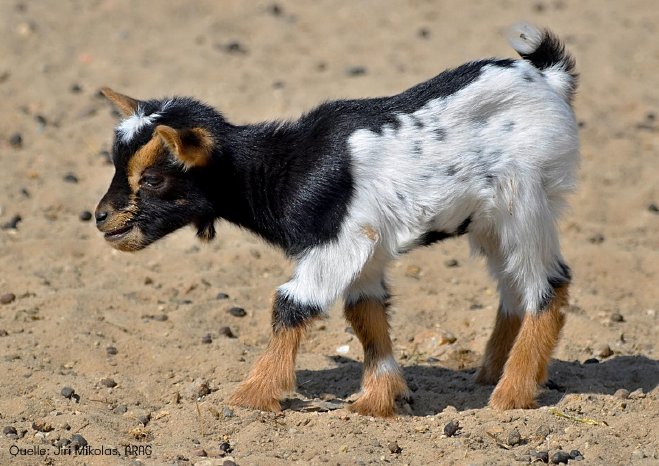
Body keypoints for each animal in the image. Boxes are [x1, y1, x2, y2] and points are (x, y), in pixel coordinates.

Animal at [96, 23, 579, 416]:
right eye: (116, 163)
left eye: (153, 179)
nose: (101, 218)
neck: (283, 168)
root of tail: (548, 78)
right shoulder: (367, 248)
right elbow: (365, 313)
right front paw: (378, 401)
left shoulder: (340, 242)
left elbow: (291, 304)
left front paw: (249, 396)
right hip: (490, 223)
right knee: (512, 287)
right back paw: (491, 373)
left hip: (523, 202)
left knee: (549, 285)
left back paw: (510, 395)